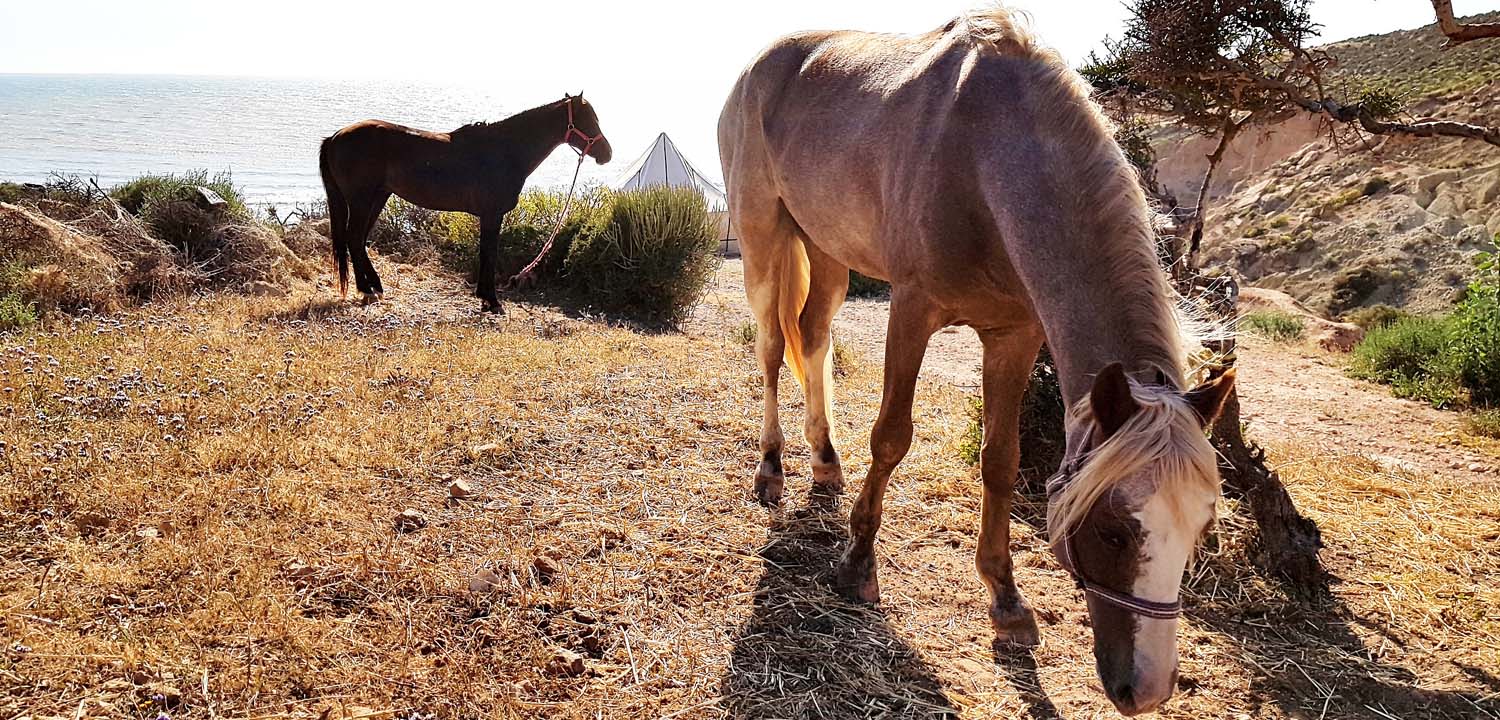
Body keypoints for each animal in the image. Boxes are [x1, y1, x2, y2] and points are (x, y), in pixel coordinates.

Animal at [318, 94, 612, 313]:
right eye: (588, 118)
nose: (607, 153)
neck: (505, 151)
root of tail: (335, 137)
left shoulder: (489, 215)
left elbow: (485, 253)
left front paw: (485, 297)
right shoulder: (492, 214)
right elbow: (489, 254)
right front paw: (491, 300)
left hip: (377, 197)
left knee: (358, 241)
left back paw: (374, 287)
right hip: (361, 200)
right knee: (354, 239)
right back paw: (367, 290)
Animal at [718, 8, 1235, 716]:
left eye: (1201, 528)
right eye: (1113, 531)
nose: (1148, 690)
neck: (988, 157)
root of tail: (758, 66)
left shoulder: (1014, 335)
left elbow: (1001, 461)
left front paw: (1007, 601)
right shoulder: (912, 308)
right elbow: (891, 437)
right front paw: (857, 563)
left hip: (826, 251)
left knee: (815, 338)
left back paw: (824, 459)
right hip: (764, 236)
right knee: (773, 347)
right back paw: (771, 468)